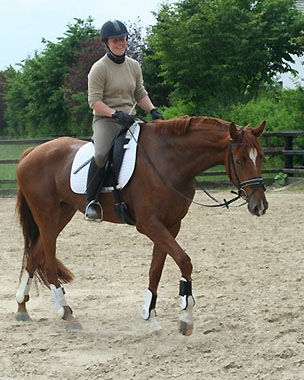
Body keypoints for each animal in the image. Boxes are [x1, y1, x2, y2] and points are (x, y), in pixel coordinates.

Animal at [14, 116, 268, 336]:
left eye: (261, 157)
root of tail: (31, 152)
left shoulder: (171, 225)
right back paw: (66, 314)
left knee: (35, 254)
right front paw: (186, 317)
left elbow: (155, 270)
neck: (169, 161)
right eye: (239, 160)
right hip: (46, 214)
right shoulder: (150, 225)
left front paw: (151, 318)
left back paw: (21, 308)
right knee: (47, 261)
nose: (260, 206)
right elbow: (184, 260)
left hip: (62, 214)